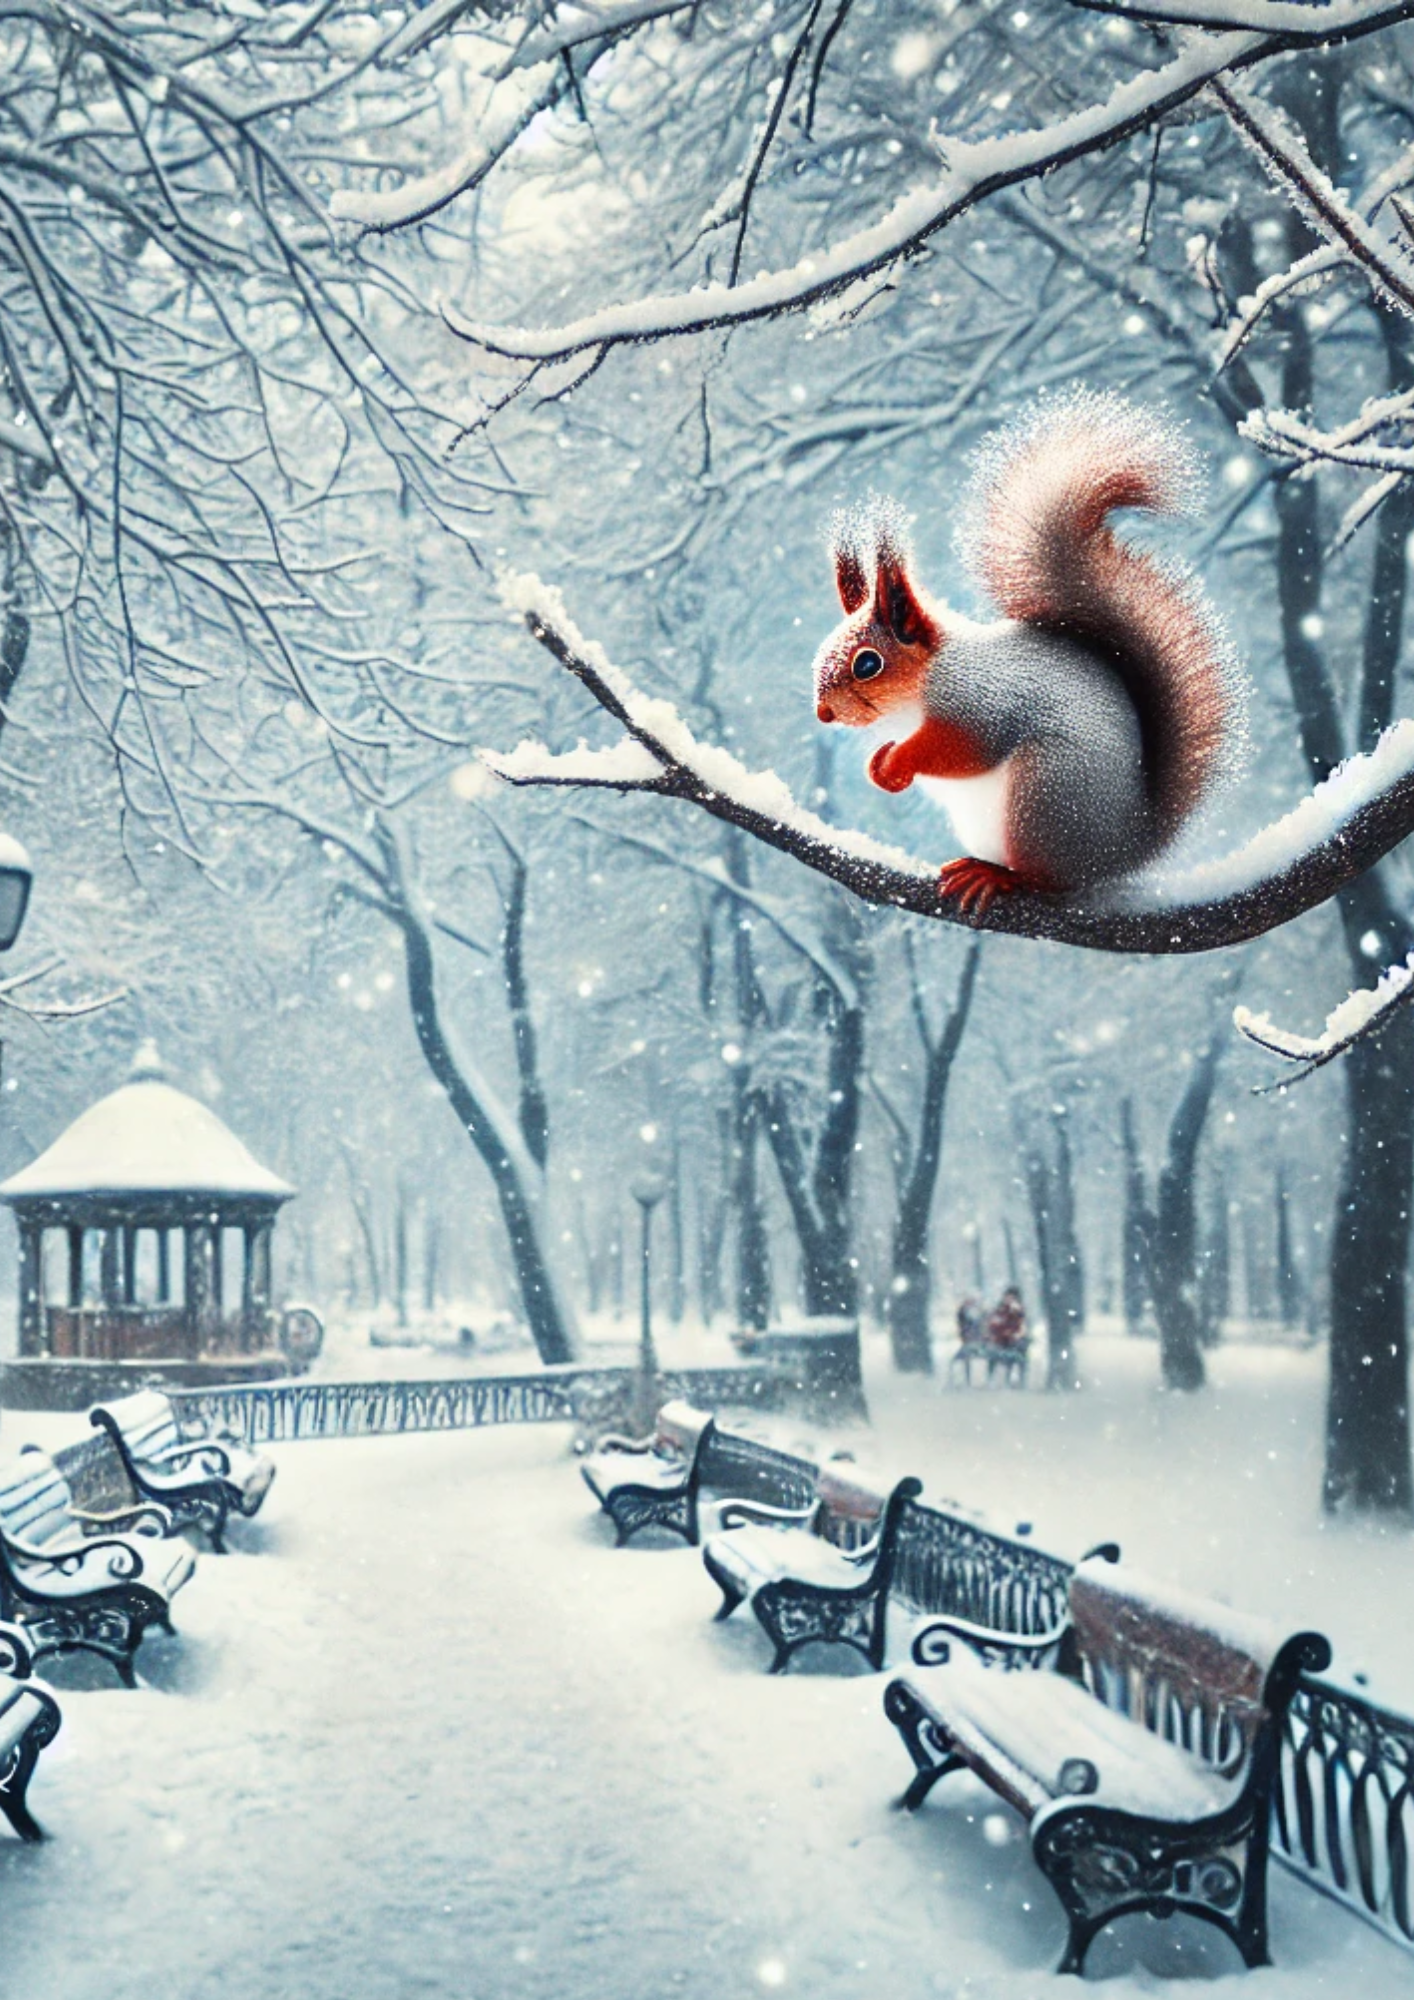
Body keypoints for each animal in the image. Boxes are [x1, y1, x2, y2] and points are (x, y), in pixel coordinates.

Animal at [811, 392, 1238, 914]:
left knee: (1050, 880)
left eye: (868, 663)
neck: (914, 696)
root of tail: (1123, 851)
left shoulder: (978, 702)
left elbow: (964, 747)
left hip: (1044, 796)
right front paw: (880, 765)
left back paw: (998, 876)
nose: (824, 712)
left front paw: (897, 763)